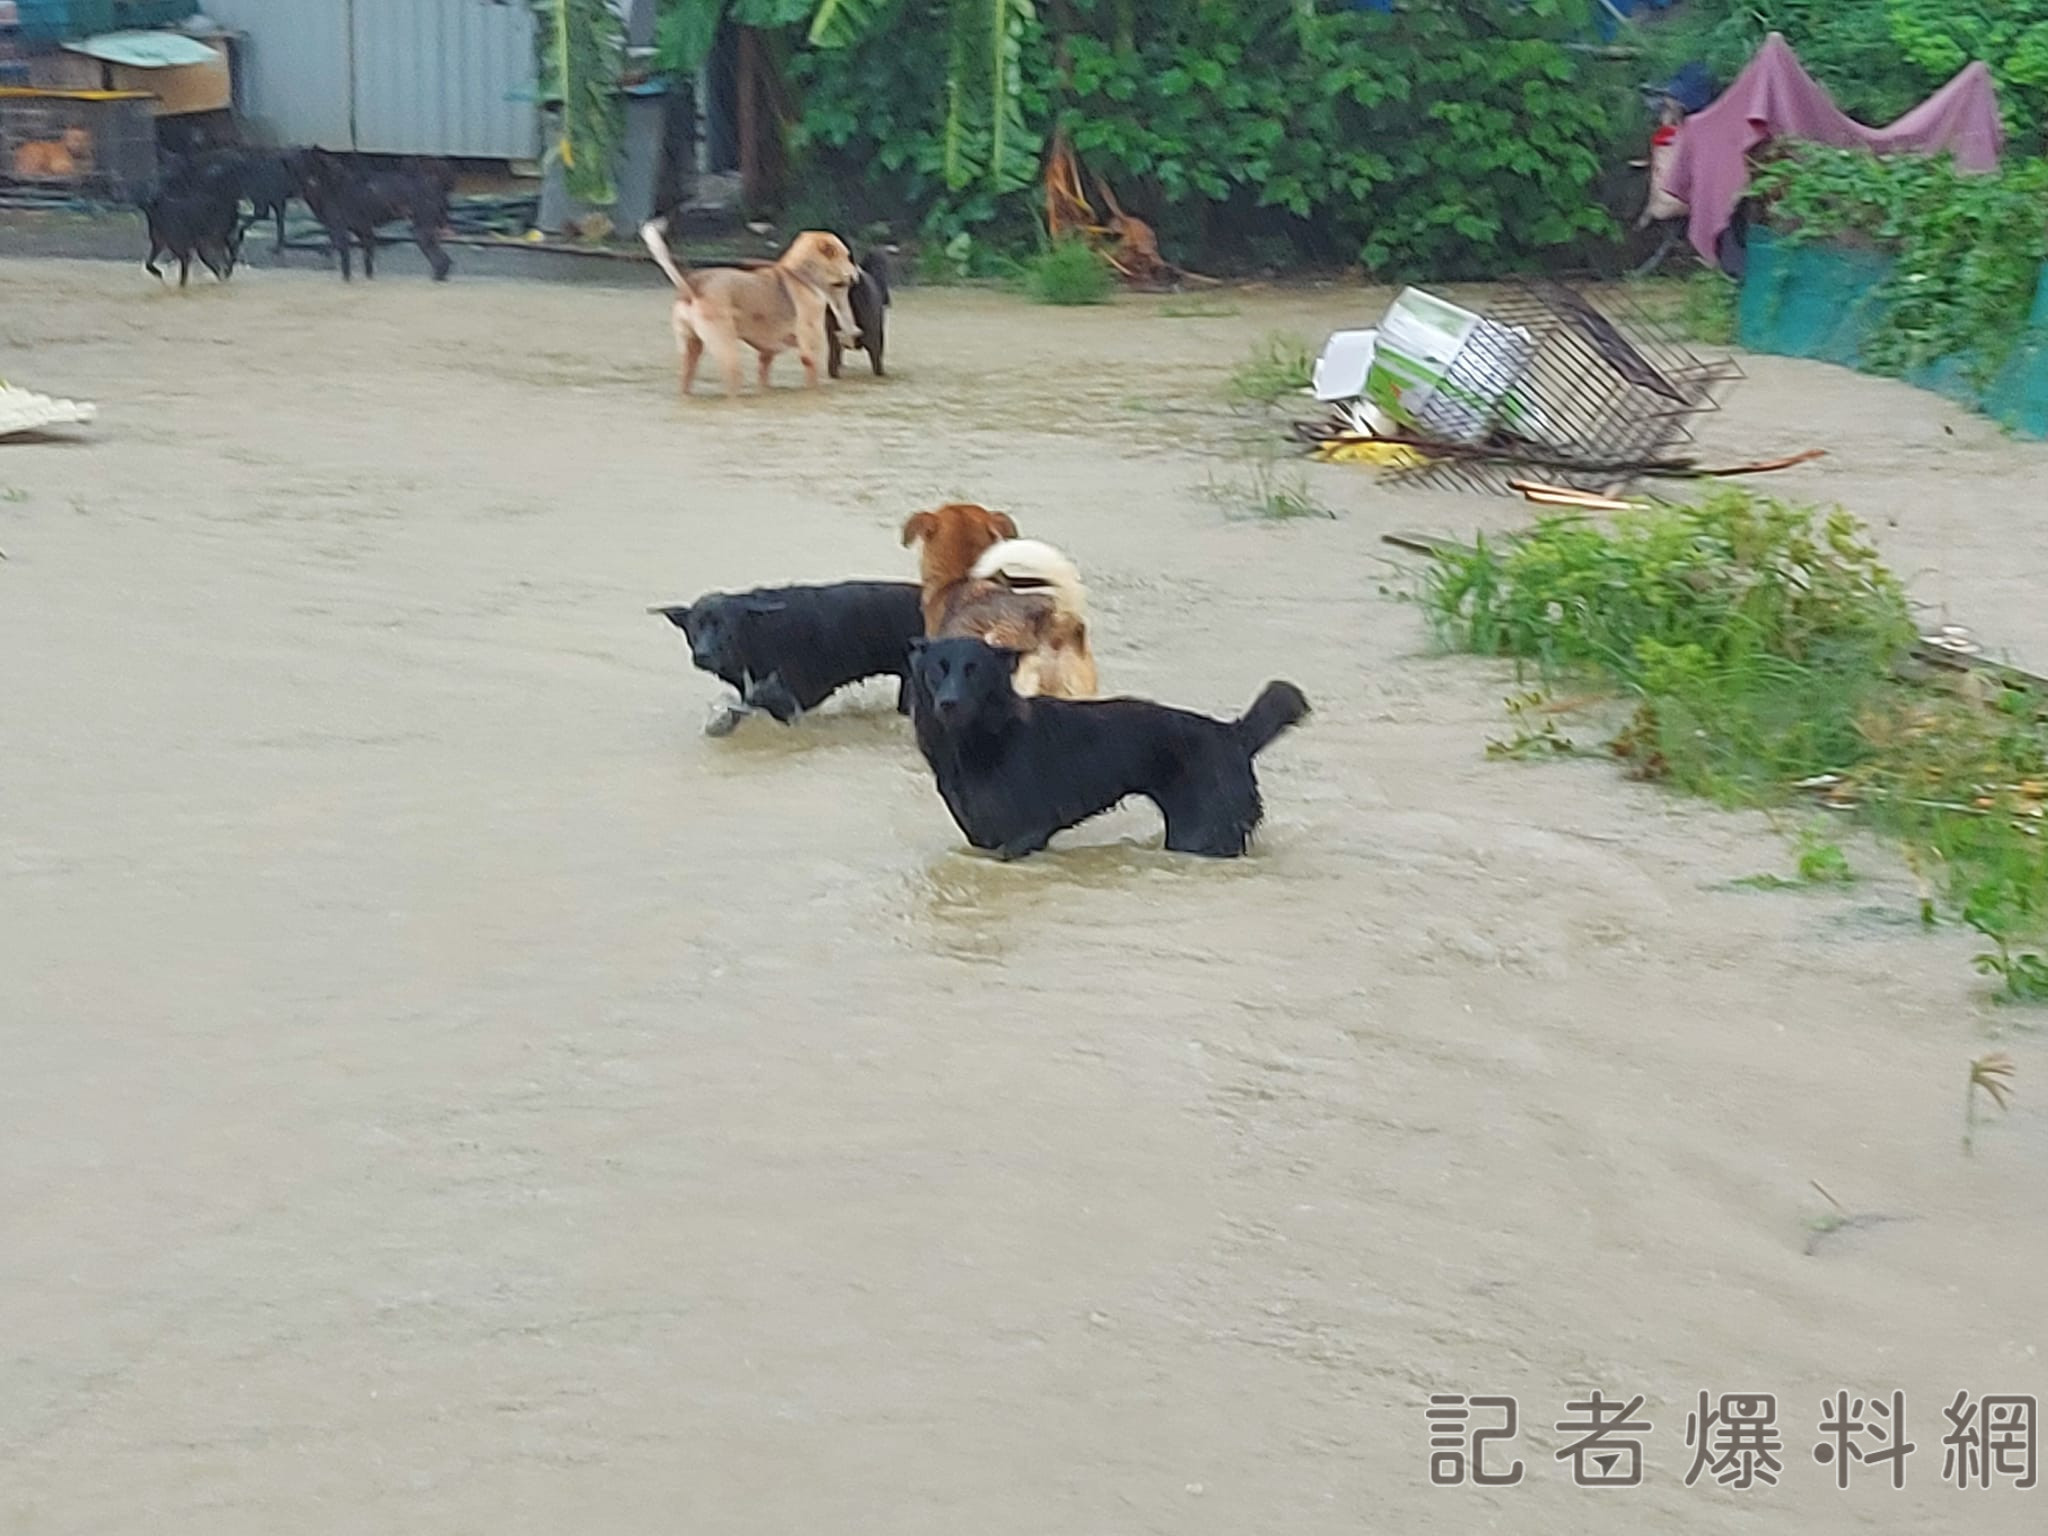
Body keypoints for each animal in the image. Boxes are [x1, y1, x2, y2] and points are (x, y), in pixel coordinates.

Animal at [638, 218, 864, 397]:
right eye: (847, 256)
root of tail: (692, 284)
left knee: (686, 381)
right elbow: (812, 380)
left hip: (690, 351)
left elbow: (764, 378)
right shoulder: (810, 352)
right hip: (727, 350)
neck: (802, 276)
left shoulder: (766, 355)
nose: (858, 276)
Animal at [913, 630, 1310, 860]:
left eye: (974, 670)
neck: (984, 739)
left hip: (1202, 834)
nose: (949, 703)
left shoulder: (1025, 834)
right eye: (938, 669)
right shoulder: (982, 836)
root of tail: (1232, 735)